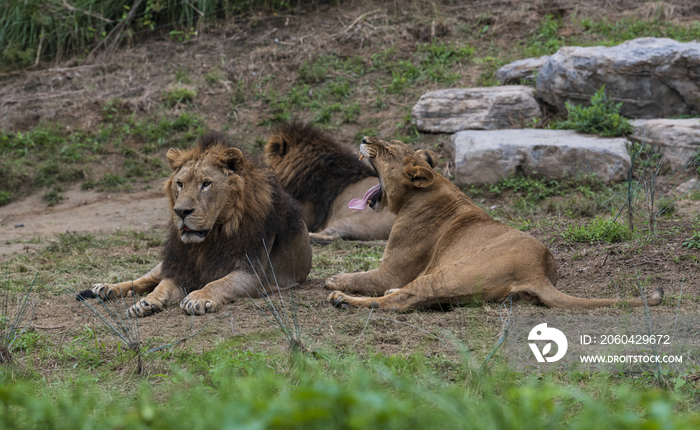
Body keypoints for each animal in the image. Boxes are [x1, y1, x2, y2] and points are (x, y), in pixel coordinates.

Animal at [82, 133, 312, 318]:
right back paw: (107, 288)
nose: (181, 211)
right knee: (144, 279)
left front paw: (198, 298)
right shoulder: (179, 266)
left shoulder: (250, 272)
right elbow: (161, 286)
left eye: (206, 184)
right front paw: (147, 303)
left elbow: (218, 283)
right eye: (180, 184)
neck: (210, 238)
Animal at [326, 137, 664, 310]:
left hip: (452, 272)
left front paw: (335, 280)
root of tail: (539, 272)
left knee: (401, 300)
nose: (365, 138)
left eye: (387, 150)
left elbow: (361, 276)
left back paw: (342, 301)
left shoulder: (390, 271)